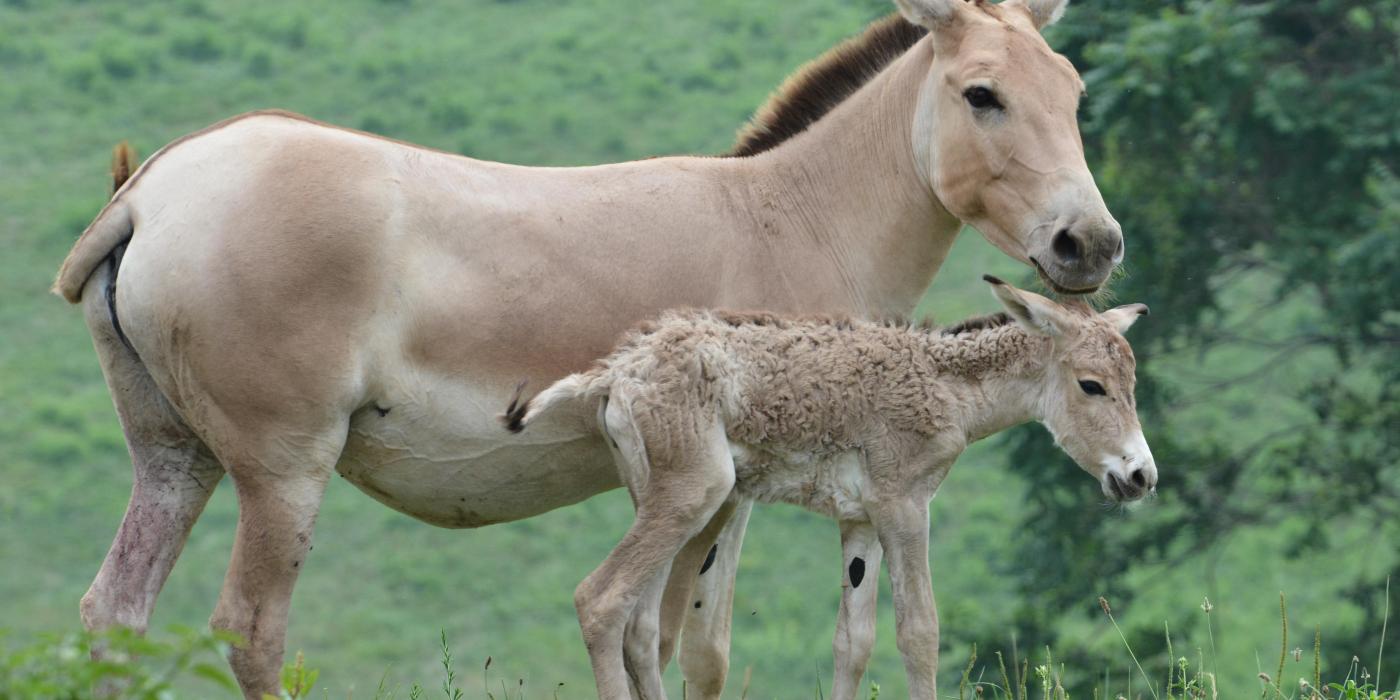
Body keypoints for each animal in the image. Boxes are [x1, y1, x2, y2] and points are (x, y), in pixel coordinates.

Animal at [509, 278, 1153, 700]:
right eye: (1091, 385)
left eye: (1133, 380)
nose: (1141, 476)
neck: (946, 387)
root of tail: (615, 371)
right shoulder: (905, 508)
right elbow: (919, 632)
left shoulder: (860, 522)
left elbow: (853, 642)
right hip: (693, 497)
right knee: (601, 599)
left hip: (660, 503)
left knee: (639, 629)